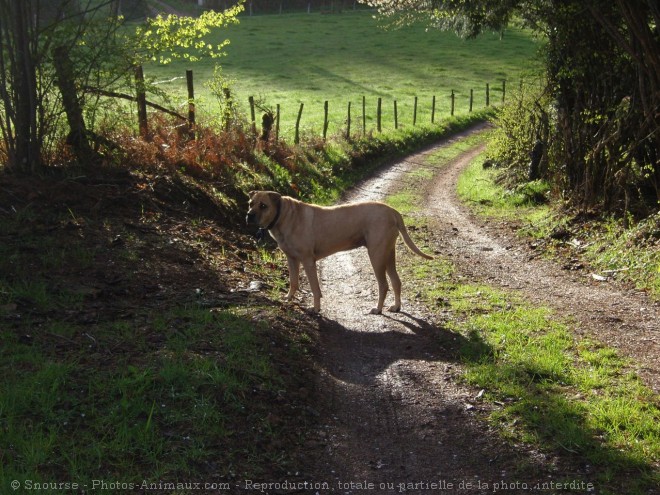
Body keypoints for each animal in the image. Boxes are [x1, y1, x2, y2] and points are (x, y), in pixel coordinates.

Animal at [248, 190, 434, 314]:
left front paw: (315, 308)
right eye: (250, 204)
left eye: (263, 206)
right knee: (396, 281)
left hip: (377, 255)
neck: (283, 216)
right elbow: (293, 282)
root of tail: (393, 211)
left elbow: (315, 288)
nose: (249, 215)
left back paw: (377, 309)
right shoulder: (292, 259)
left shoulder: (308, 261)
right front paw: (288, 299)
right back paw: (396, 306)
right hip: (388, 254)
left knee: (384, 285)